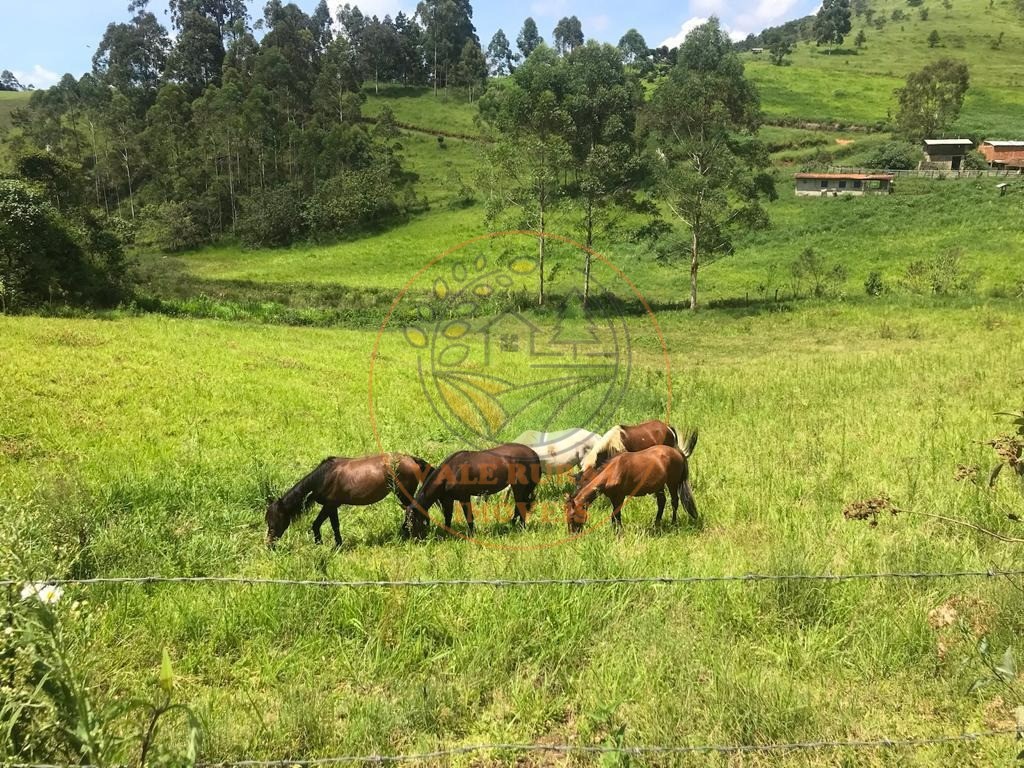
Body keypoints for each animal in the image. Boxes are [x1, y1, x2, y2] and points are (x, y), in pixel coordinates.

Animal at [266, 456, 430, 548]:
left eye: (274, 520)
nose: (269, 545)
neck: (324, 477)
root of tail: (412, 459)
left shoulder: (329, 505)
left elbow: (316, 524)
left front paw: (320, 544)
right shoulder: (333, 506)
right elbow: (335, 526)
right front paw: (338, 544)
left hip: (404, 494)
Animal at [403, 444, 544, 540]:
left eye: (412, 520)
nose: (407, 536)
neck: (451, 472)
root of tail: (534, 454)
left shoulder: (464, 497)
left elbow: (469, 517)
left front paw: (471, 535)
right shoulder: (448, 499)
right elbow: (448, 517)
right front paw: (447, 534)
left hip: (519, 487)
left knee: (521, 507)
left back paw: (520, 528)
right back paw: (512, 525)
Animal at [565, 434, 700, 536]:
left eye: (572, 516)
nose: (572, 534)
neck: (612, 472)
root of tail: (678, 452)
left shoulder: (619, 497)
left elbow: (616, 515)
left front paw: (619, 533)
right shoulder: (613, 497)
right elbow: (614, 516)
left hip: (672, 483)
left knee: (674, 502)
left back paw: (673, 523)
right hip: (659, 486)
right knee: (661, 502)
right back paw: (656, 524)